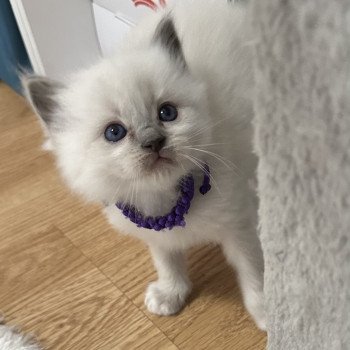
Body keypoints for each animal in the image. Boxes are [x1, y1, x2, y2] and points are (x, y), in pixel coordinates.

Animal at [23, 0, 266, 330]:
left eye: (167, 113)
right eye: (114, 132)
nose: (154, 141)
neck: (164, 199)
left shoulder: (238, 227)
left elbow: (253, 272)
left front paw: (269, 312)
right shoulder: (155, 232)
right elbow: (167, 262)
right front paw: (171, 293)